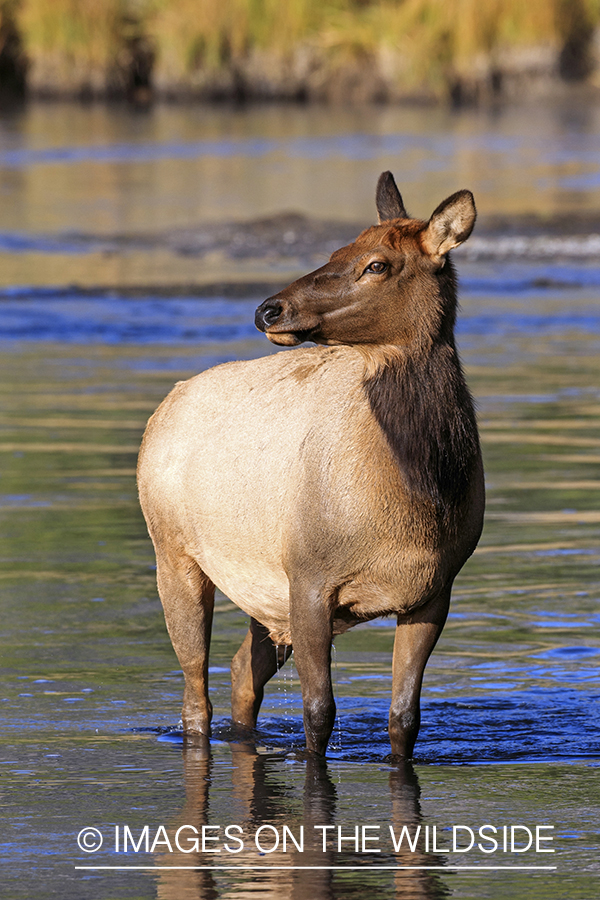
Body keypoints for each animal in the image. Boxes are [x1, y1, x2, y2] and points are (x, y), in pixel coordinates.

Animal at [138, 171, 486, 760]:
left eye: (377, 264)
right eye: (335, 250)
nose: (268, 309)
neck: (415, 498)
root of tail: (164, 407)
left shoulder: (433, 592)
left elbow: (405, 719)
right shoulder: (308, 578)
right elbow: (319, 714)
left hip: (261, 592)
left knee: (241, 671)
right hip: (175, 554)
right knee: (194, 694)